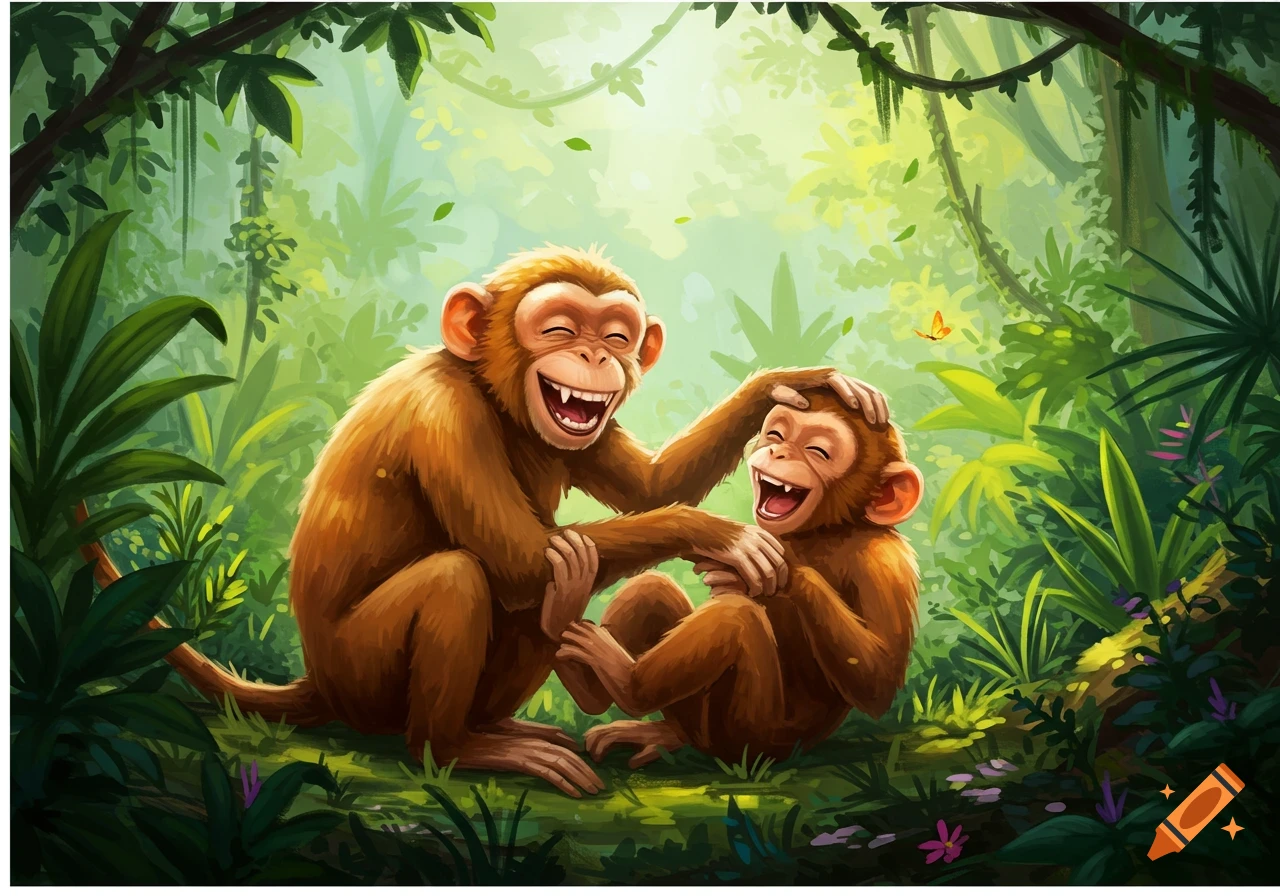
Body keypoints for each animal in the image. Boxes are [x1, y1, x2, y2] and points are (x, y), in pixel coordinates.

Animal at [552, 388, 924, 768]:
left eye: (818, 451)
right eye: (776, 434)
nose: (778, 451)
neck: (825, 531)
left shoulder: (883, 561)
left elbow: (877, 677)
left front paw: (781, 570)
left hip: (747, 739)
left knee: (735, 618)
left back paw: (626, 684)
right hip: (701, 719)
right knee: (652, 589)